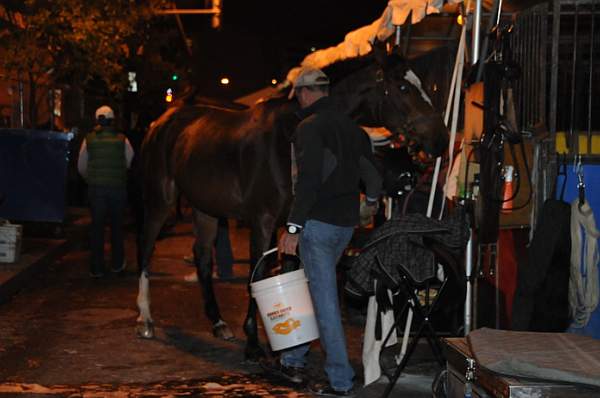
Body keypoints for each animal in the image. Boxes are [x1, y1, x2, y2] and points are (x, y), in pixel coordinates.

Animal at [135, 47, 446, 360]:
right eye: (403, 87)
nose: (440, 140)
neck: (288, 138)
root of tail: (166, 118)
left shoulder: (291, 222)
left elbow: (286, 270)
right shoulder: (262, 220)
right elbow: (258, 273)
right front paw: (253, 342)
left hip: (205, 208)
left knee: (201, 256)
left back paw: (218, 322)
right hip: (160, 200)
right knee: (146, 247)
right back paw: (145, 319)